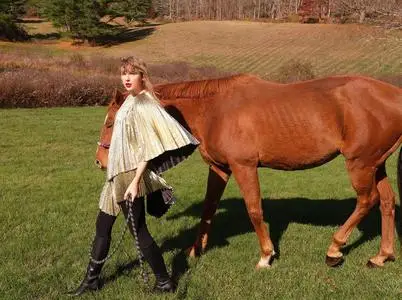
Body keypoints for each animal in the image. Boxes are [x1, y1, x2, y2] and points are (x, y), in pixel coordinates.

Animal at [96, 74, 400, 268]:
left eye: (112, 123)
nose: (100, 161)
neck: (215, 109)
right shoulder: (220, 168)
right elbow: (208, 208)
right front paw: (195, 250)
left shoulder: (244, 167)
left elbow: (254, 209)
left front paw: (266, 255)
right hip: (376, 165)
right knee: (386, 202)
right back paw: (381, 256)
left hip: (359, 164)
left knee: (367, 200)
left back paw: (334, 248)